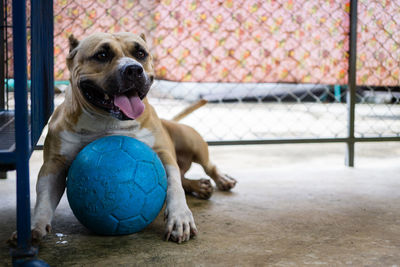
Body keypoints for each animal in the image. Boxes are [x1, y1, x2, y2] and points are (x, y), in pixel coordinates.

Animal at [9, 32, 236, 246]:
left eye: (141, 53)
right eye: (102, 55)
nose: (133, 69)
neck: (107, 122)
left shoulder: (163, 153)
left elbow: (173, 184)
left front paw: (180, 217)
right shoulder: (53, 165)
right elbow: (44, 197)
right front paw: (33, 227)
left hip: (191, 140)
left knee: (206, 166)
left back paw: (220, 180)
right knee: (184, 177)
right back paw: (199, 186)